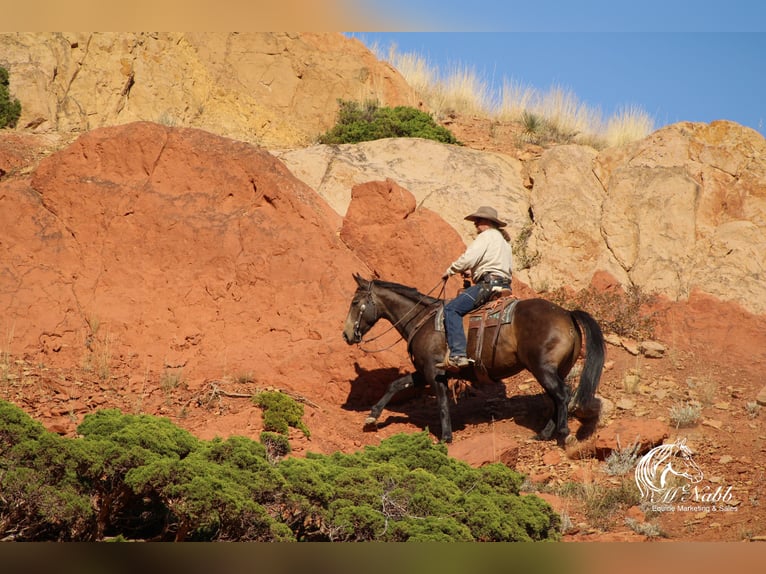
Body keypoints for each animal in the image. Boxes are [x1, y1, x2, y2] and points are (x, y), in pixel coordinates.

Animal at [342, 276, 608, 448]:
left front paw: (446, 438)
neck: (422, 320)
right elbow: (395, 385)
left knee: (562, 395)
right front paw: (372, 417)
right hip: (554, 370)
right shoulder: (423, 371)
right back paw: (543, 434)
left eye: (355, 303)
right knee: (556, 398)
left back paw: (563, 435)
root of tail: (567, 314)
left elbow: (442, 404)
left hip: (543, 369)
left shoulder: (434, 372)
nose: (346, 335)